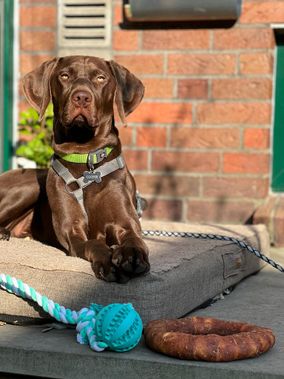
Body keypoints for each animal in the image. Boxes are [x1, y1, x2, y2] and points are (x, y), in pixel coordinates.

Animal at [0, 55, 151, 282]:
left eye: (100, 78)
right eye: (64, 76)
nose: (81, 97)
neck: (85, 156)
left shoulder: (126, 223)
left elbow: (133, 239)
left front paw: (131, 256)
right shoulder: (72, 230)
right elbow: (93, 243)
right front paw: (108, 261)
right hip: (29, 187)